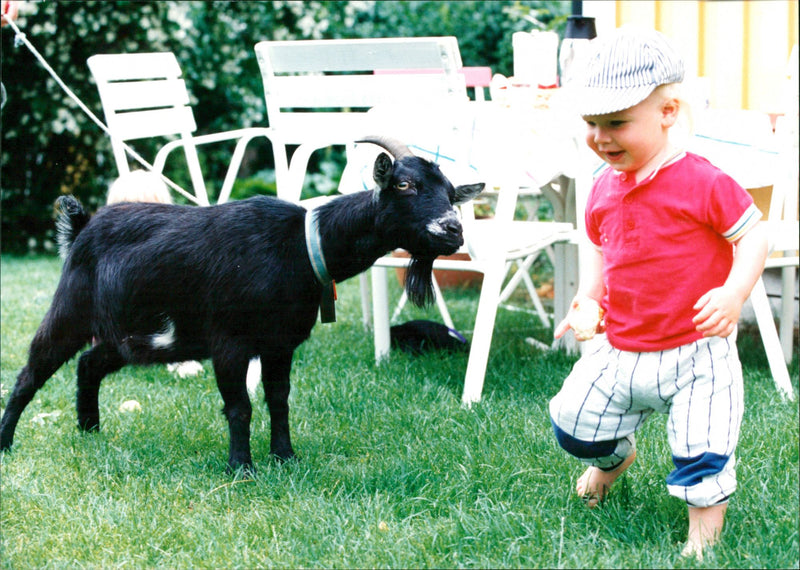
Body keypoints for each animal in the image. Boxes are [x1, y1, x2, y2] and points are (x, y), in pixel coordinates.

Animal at [0, 138, 484, 470]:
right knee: (31, 372)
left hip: (137, 336)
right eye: (403, 184)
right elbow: (240, 406)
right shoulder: (230, 342)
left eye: (450, 192)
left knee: (90, 363)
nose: (452, 230)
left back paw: (91, 432)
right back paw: (7, 443)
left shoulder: (279, 344)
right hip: (71, 309)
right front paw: (241, 468)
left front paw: (285, 457)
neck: (302, 246)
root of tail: (81, 226)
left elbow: (279, 399)